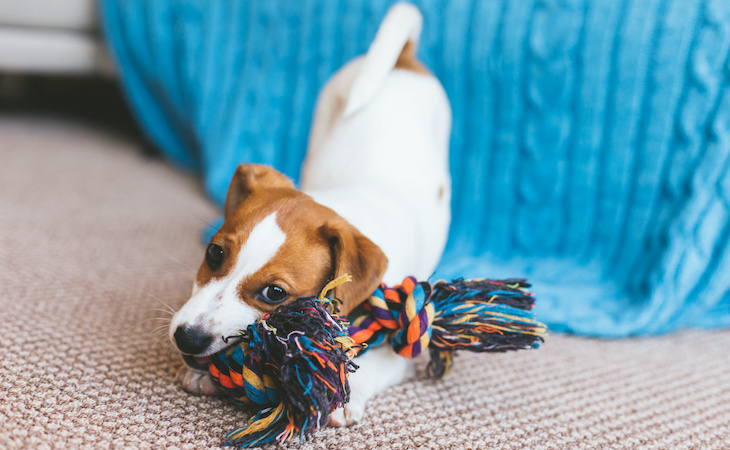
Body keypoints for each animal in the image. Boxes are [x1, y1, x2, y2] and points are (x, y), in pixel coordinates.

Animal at [169, 2, 450, 426]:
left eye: (274, 293)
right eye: (214, 254)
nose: (186, 337)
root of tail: (403, 61)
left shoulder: (400, 341)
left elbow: (373, 364)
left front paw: (345, 394)